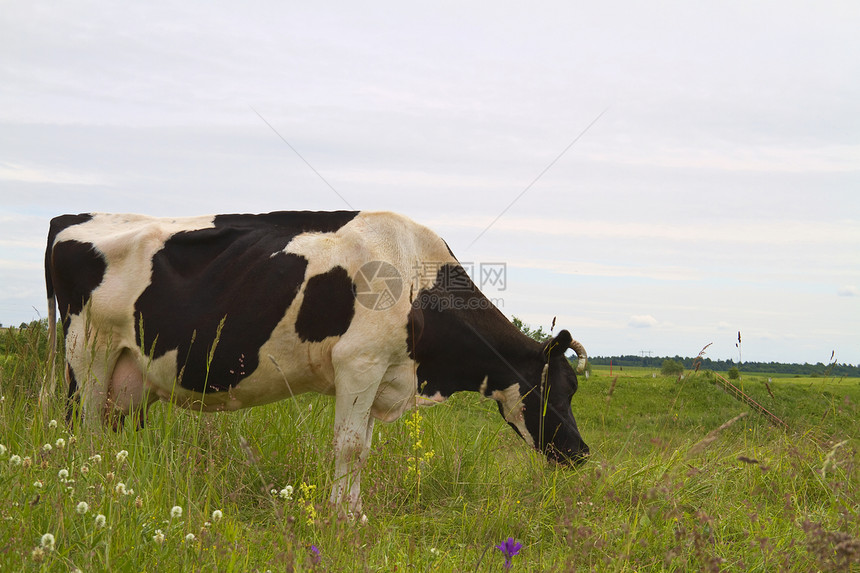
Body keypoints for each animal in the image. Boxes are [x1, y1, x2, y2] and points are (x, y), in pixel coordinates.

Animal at [42, 211, 592, 512]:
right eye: (555, 389)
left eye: (573, 389)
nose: (582, 453)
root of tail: (70, 219)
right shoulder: (360, 363)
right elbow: (348, 449)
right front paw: (339, 520)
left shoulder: (379, 376)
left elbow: (362, 450)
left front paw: (354, 515)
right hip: (87, 355)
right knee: (83, 430)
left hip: (126, 376)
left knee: (108, 435)